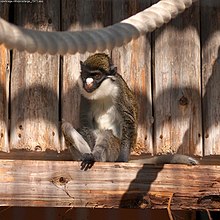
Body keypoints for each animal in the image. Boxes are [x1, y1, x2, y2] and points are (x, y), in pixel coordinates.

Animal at [61, 52, 199, 169]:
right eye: (86, 75)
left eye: (97, 76)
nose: (88, 83)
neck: (102, 92)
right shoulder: (84, 95)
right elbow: (85, 121)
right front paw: (87, 152)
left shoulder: (119, 91)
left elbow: (128, 120)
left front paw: (121, 159)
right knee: (66, 126)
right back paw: (85, 156)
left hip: (113, 152)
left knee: (107, 134)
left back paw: (95, 157)